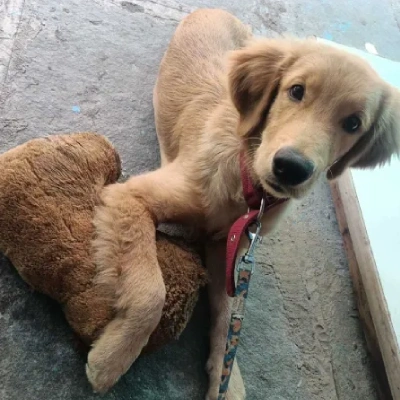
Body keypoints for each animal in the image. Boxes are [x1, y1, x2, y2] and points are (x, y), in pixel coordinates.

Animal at [85, 7, 400, 398]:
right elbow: (150, 292)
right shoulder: (131, 194)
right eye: (296, 91)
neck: (247, 184)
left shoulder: (229, 247)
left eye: (353, 123)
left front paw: (227, 379)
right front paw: (112, 358)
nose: (291, 168)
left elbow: (228, 315)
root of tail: (214, 8)